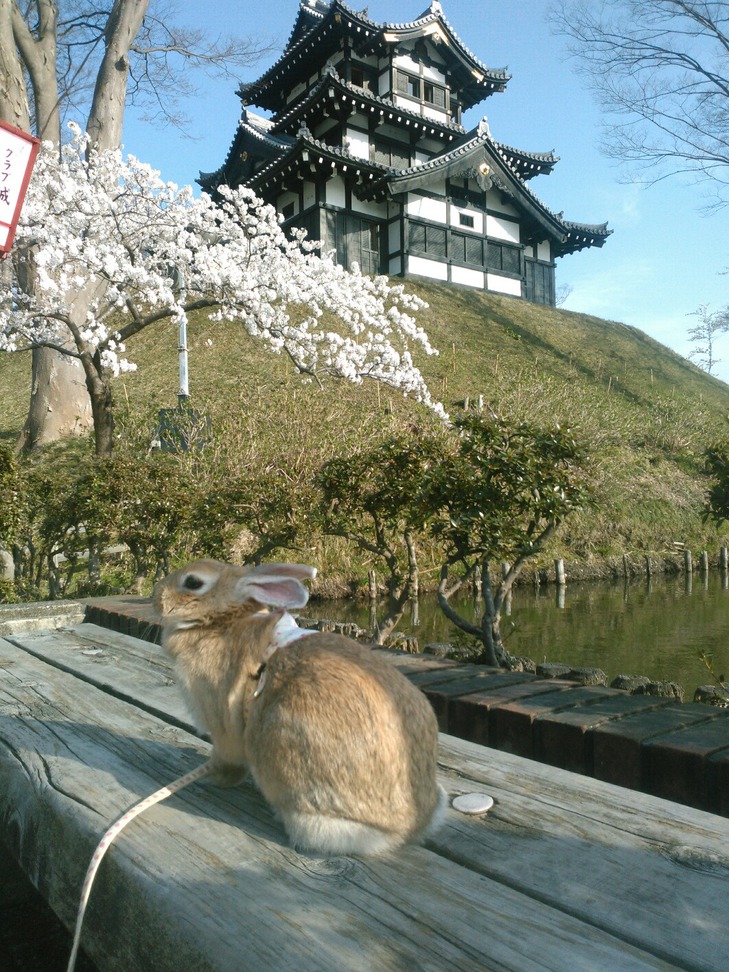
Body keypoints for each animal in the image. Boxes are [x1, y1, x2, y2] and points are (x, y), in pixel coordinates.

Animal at [155, 560, 444, 856]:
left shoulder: (223, 728)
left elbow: (226, 758)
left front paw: (213, 778)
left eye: (192, 582)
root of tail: (408, 828)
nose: (157, 595)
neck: (220, 621)